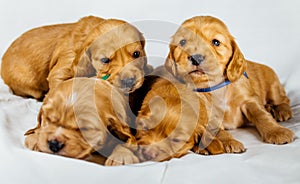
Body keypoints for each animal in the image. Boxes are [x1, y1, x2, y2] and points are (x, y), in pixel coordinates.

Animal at [164, 15, 292, 151]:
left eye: (216, 42)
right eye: (182, 42)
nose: (196, 58)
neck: (215, 87)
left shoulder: (248, 100)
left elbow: (261, 115)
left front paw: (277, 132)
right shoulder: (204, 113)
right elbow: (216, 129)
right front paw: (230, 141)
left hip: (273, 86)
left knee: (283, 99)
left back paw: (282, 111)